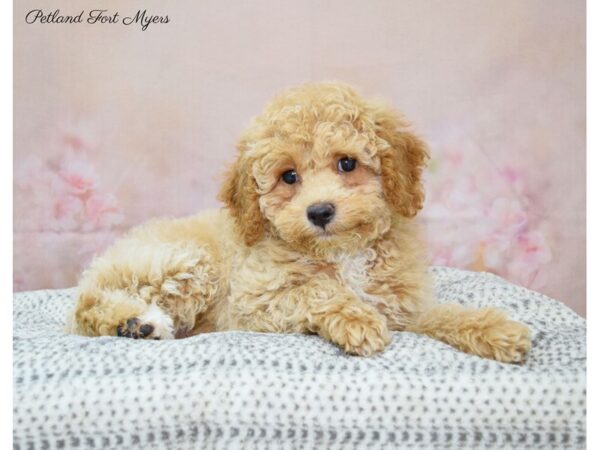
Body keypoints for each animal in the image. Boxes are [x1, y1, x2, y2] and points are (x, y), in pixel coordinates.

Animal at [70, 81, 528, 362]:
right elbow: (314, 290)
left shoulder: (402, 306)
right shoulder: (253, 301)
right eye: (288, 176)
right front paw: (356, 319)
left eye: (347, 163)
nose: (320, 211)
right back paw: (135, 323)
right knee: (84, 309)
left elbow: (439, 315)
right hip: (185, 262)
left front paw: (494, 330)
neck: (342, 253)